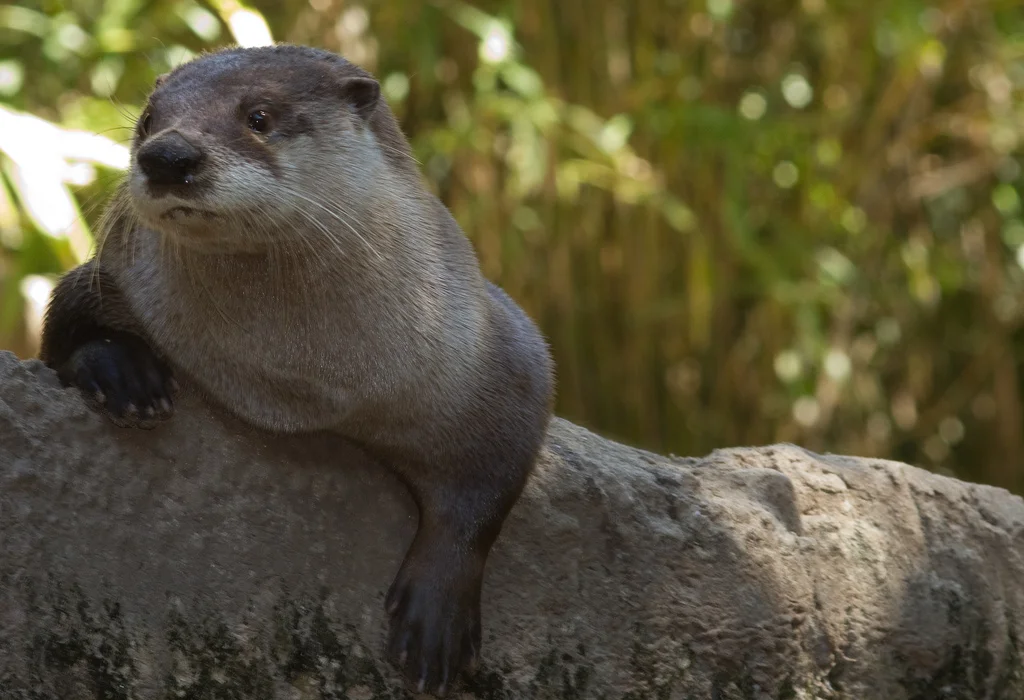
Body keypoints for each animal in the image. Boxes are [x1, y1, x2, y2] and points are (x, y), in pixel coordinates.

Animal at [39, 44, 554, 696]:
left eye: (259, 116)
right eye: (148, 121)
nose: (167, 156)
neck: (300, 382)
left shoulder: (496, 347)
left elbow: (491, 482)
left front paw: (436, 614)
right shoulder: (117, 277)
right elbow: (63, 322)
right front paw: (123, 371)